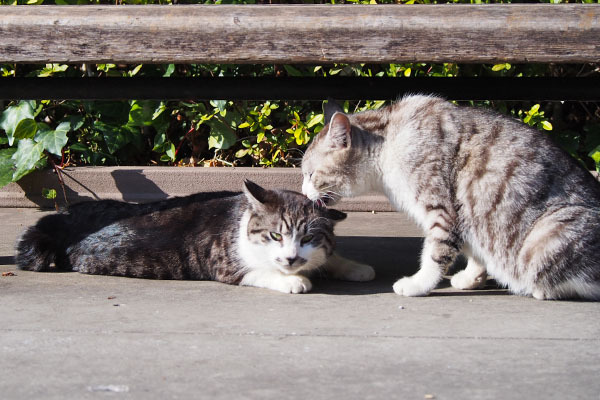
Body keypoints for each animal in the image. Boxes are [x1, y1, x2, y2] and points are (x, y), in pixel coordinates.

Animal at [16, 180, 376, 292]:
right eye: (275, 235)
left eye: (308, 239)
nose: (290, 258)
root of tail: (64, 219)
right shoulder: (226, 265)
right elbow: (260, 271)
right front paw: (293, 279)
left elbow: (330, 257)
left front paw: (355, 267)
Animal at [302, 94, 600, 300]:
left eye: (310, 174)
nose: (304, 192)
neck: (388, 142)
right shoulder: (470, 215)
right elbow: (475, 251)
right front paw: (471, 278)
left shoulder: (442, 209)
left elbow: (436, 254)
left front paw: (418, 284)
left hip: (545, 236)